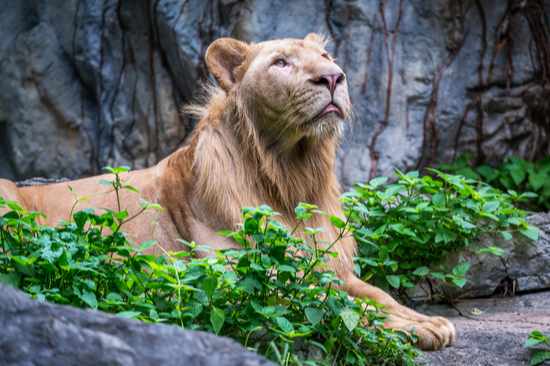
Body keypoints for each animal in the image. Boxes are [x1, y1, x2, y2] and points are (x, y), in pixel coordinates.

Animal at [0, 33, 458, 348]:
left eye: (327, 58)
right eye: (280, 62)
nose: (332, 77)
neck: (291, 176)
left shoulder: (331, 268)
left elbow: (375, 295)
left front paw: (425, 320)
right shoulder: (253, 284)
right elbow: (340, 307)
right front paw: (416, 329)